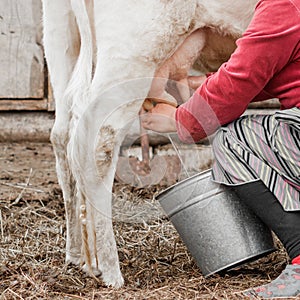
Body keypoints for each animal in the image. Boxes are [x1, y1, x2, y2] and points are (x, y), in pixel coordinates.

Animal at [41, 0, 258, 288]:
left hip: (60, 39)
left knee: (63, 136)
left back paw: (79, 256)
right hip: (133, 51)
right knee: (99, 140)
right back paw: (110, 271)